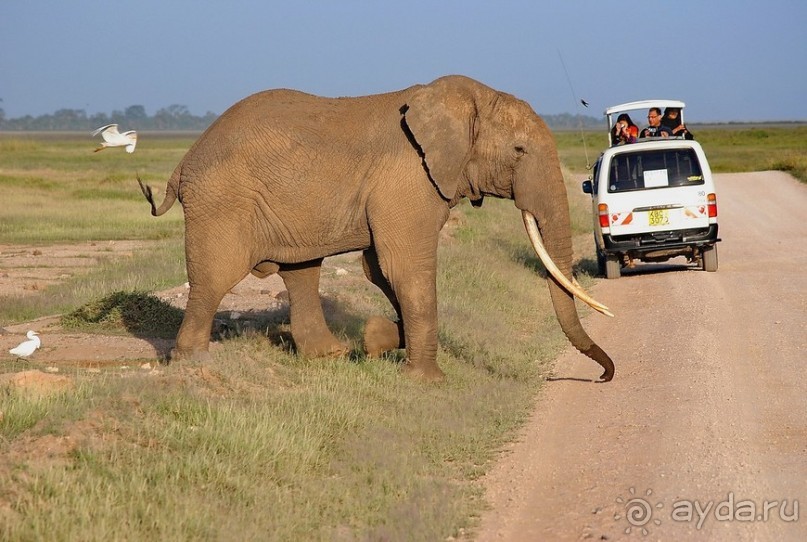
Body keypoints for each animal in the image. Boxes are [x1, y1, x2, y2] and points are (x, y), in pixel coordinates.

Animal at [140, 75, 620, 382]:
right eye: (519, 150)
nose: (603, 376)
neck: (468, 98)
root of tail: (183, 163)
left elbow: (381, 271)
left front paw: (374, 341)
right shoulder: (408, 178)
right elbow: (403, 268)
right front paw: (426, 381)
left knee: (301, 272)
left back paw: (330, 356)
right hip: (222, 202)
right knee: (215, 276)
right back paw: (193, 363)